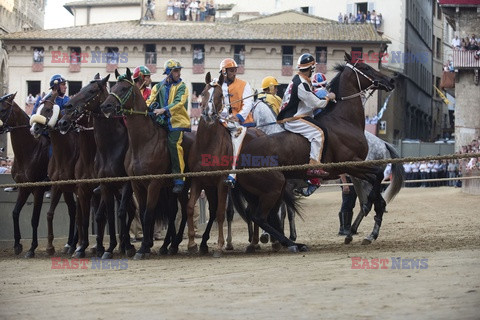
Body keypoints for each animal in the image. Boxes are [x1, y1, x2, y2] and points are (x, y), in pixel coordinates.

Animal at [0, 92, 50, 258]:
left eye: (2, 109)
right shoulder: (24, 188)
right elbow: (15, 213)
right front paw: (17, 245)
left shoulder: (38, 190)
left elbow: (34, 219)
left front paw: (32, 248)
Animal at [57, 74, 138, 258]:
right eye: (81, 88)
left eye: (92, 91)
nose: (67, 106)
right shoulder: (92, 188)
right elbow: (90, 218)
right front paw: (88, 248)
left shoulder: (122, 184)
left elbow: (113, 214)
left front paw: (111, 246)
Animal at [100, 68, 192, 260]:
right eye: (113, 86)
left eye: (123, 88)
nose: (105, 106)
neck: (143, 143)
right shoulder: (137, 184)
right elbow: (142, 214)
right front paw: (146, 245)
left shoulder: (154, 183)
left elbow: (149, 214)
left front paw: (142, 248)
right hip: (168, 188)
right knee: (172, 211)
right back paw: (166, 246)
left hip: (183, 185)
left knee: (185, 210)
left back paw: (176, 243)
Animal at [231, 53, 396, 252]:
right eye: (366, 68)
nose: (390, 80)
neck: (343, 120)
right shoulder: (352, 164)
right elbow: (376, 178)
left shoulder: (355, 167)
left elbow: (377, 180)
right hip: (273, 187)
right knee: (259, 217)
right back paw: (292, 244)